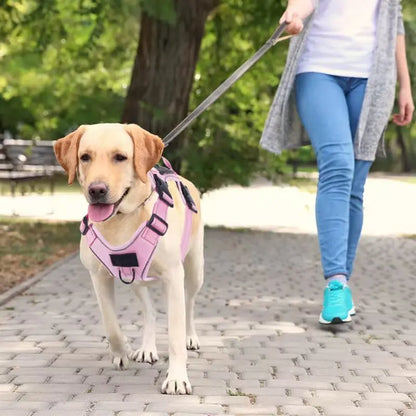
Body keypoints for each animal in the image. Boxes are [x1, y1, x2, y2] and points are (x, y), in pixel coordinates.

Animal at [54, 122, 204, 394]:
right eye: (85, 157)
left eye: (120, 157)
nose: (97, 190)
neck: (122, 218)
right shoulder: (98, 276)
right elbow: (110, 323)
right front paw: (121, 349)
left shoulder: (173, 276)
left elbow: (175, 335)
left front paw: (177, 378)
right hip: (135, 279)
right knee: (150, 311)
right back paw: (146, 348)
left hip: (194, 269)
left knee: (188, 304)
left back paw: (190, 337)